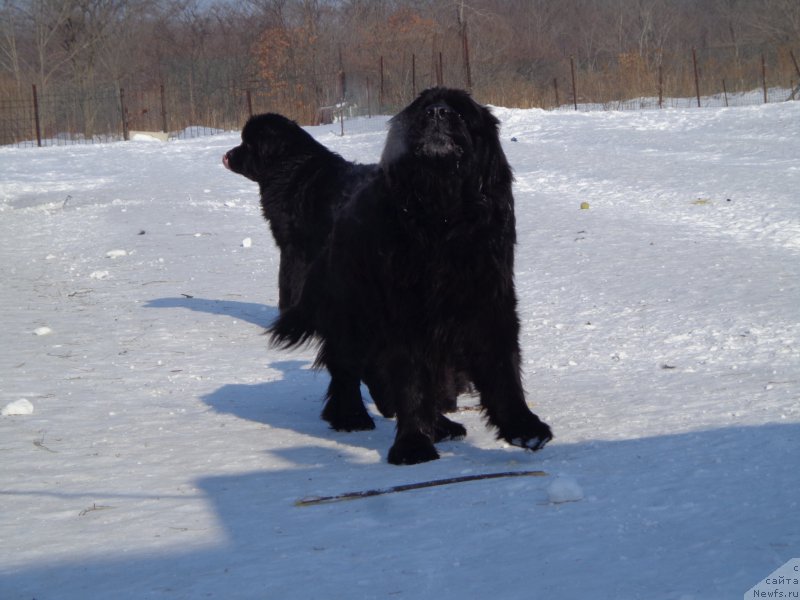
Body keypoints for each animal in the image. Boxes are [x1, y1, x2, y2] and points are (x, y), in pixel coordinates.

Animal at [272, 88, 552, 464]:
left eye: (460, 112)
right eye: (422, 108)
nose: (437, 112)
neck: (442, 217)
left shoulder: (490, 300)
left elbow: (502, 367)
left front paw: (524, 428)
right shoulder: (406, 311)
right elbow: (411, 380)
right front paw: (413, 445)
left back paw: (441, 425)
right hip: (354, 311)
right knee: (346, 365)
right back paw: (351, 416)